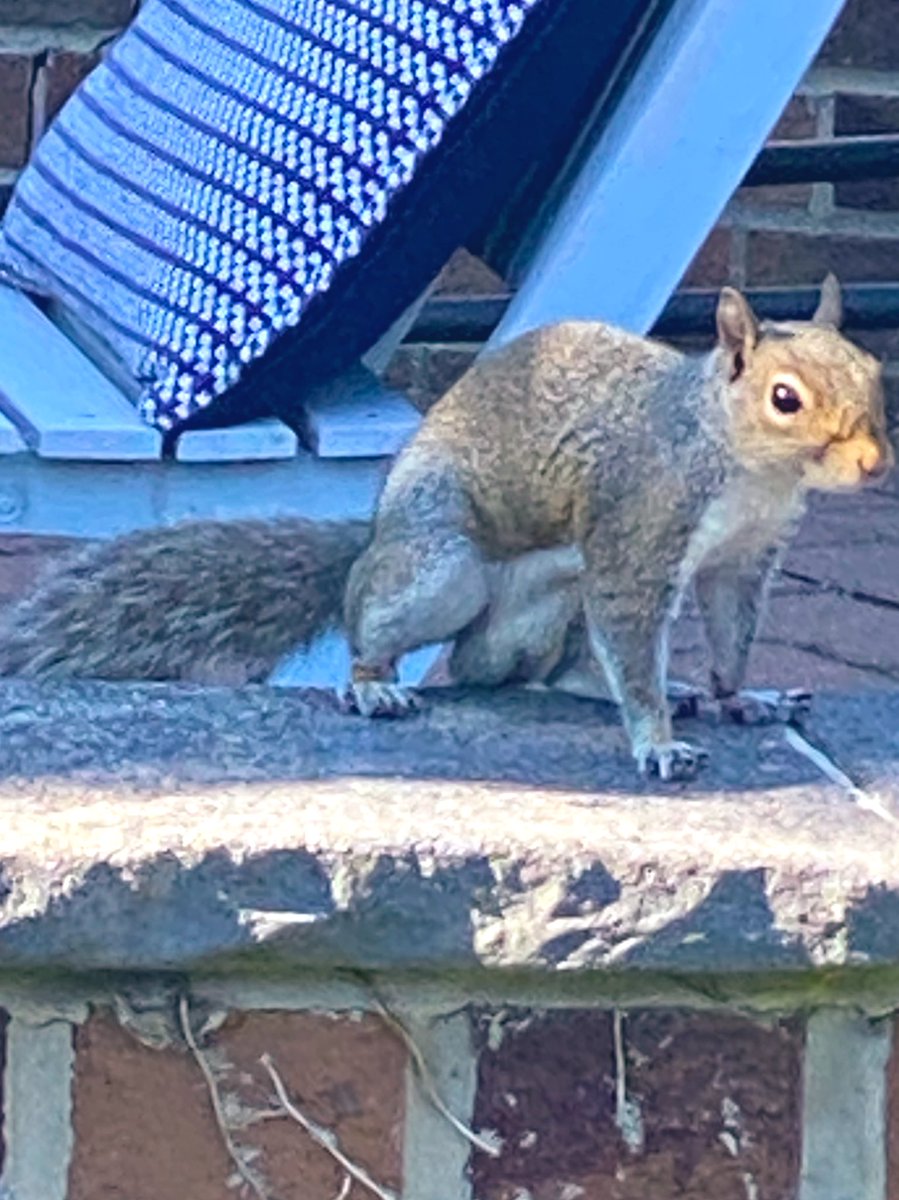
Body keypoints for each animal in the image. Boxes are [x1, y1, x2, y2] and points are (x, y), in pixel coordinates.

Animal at [0, 274, 892, 779]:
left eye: (874, 371)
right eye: (784, 398)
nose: (873, 464)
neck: (749, 471)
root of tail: (373, 540)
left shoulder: (745, 559)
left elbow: (732, 635)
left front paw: (742, 698)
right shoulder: (637, 530)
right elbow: (633, 638)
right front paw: (656, 740)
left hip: (537, 613)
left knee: (542, 669)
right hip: (442, 571)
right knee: (399, 636)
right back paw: (374, 684)